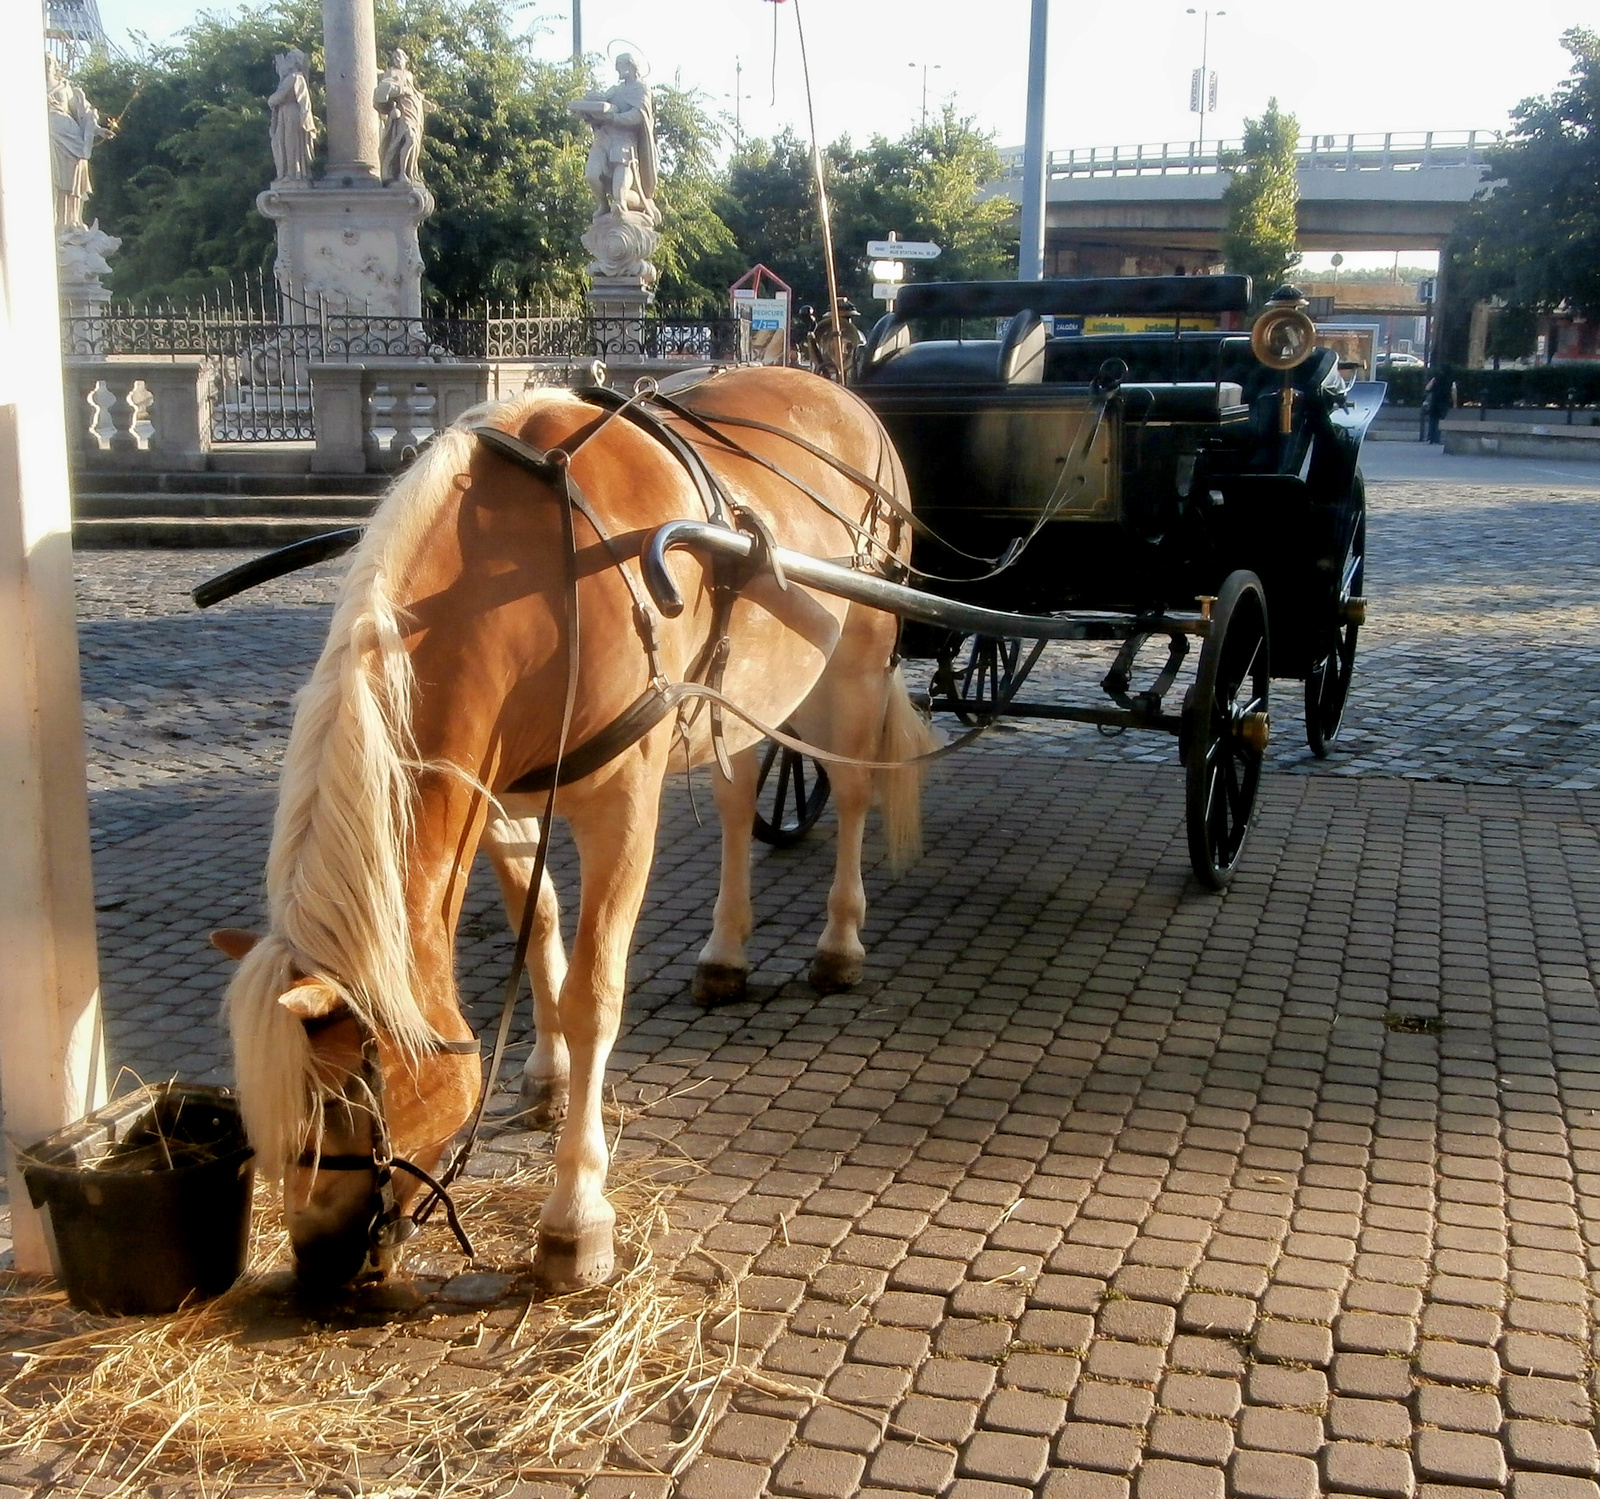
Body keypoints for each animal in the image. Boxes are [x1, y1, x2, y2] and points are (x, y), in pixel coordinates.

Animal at [212, 367, 934, 1292]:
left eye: (346, 1100)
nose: (320, 1263)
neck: (530, 581)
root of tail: (832, 388)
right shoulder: (502, 804)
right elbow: (543, 932)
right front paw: (547, 1075)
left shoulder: (622, 807)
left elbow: (594, 992)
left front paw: (576, 1211)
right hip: (739, 694)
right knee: (739, 798)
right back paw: (726, 951)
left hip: (855, 663)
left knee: (850, 791)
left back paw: (840, 942)